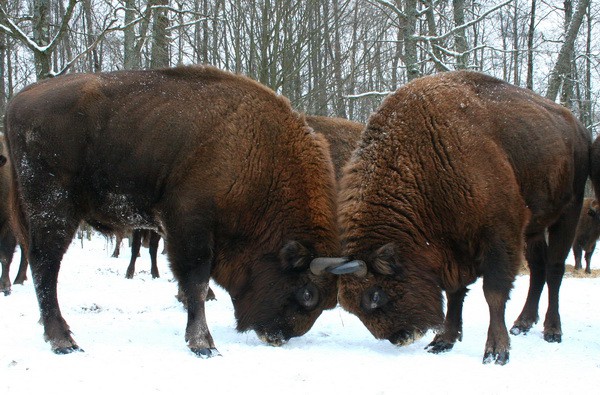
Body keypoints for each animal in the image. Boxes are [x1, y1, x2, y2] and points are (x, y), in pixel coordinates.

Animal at [3, 65, 342, 358]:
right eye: (308, 294)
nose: (278, 336)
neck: (255, 152)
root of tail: (18, 100)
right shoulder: (190, 224)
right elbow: (196, 282)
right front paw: (204, 345)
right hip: (53, 209)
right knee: (46, 266)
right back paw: (63, 341)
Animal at [326, 70, 588, 366]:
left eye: (374, 295)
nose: (401, 337)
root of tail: (577, 127)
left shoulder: (500, 234)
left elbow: (493, 293)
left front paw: (496, 351)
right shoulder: (451, 249)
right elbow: (454, 294)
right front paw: (443, 341)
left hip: (568, 214)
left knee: (554, 270)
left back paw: (552, 331)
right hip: (534, 231)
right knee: (538, 269)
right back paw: (522, 323)